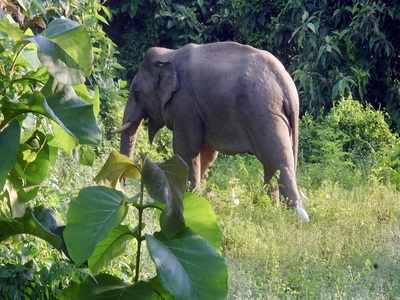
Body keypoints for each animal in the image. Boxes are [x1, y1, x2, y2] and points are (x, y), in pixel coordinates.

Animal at [115, 41, 310, 221]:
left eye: (136, 91)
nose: (123, 186)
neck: (170, 54)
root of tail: (285, 83)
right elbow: (206, 153)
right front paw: (198, 197)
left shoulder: (185, 104)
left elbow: (186, 149)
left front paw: (188, 197)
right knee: (273, 164)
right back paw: (269, 208)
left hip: (264, 113)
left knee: (278, 161)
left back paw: (296, 216)